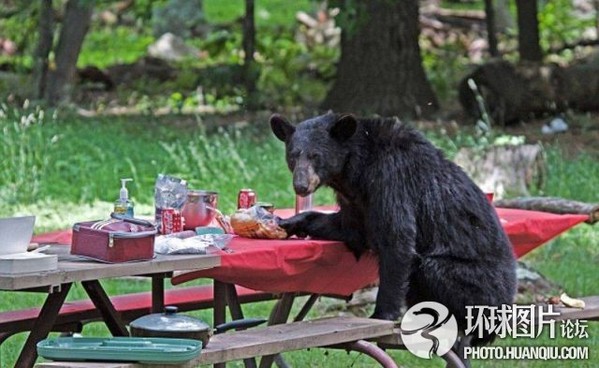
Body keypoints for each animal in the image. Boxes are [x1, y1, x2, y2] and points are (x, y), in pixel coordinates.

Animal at [270, 112, 516, 344]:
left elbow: (396, 238)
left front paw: (381, 315)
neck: (357, 168)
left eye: (315, 156)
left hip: (479, 287)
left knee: (431, 269)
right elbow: (350, 228)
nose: (300, 186)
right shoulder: (356, 200)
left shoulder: (392, 178)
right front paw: (288, 222)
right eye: (293, 156)